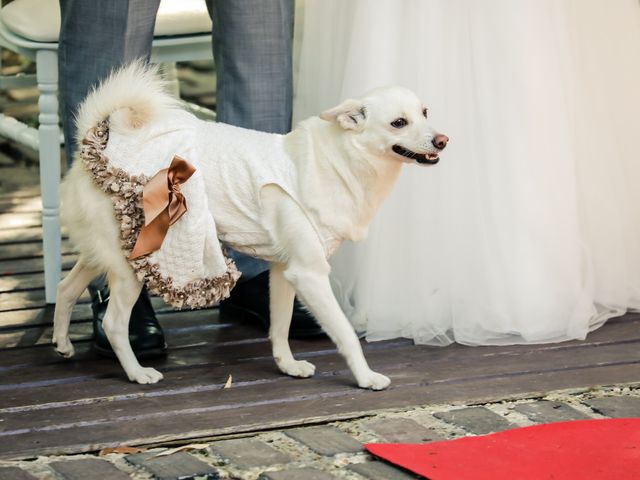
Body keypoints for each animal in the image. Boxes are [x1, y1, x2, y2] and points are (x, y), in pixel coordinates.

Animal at [52, 63, 448, 390]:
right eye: (399, 123)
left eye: (425, 113)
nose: (442, 140)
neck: (339, 159)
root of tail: (96, 145)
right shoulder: (310, 274)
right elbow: (345, 333)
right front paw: (366, 377)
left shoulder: (286, 270)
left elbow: (280, 324)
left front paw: (287, 365)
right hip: (133, 261)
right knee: (114, 324)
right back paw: (136, 372)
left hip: (109, 250)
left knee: (66, 287)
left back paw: (62, 343)